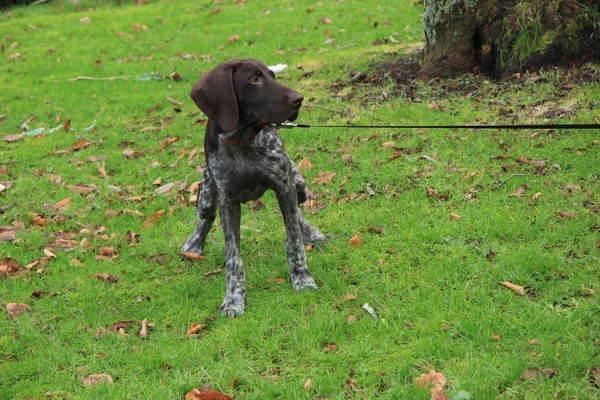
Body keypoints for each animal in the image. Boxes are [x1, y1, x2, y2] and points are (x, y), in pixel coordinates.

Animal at [180, 59, 326, 318]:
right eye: (254, 80)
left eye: (272, 76)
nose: (298, 98)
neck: (241, 139)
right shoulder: (227, 199)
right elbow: (233, 257)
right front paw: (234, 299)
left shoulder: (283, 184)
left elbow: (295, 240)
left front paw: (302, 279)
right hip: (207, 193)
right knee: (205, 217)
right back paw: (194, 243)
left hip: (298, 184)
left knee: (298, 214)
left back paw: (312, 233)